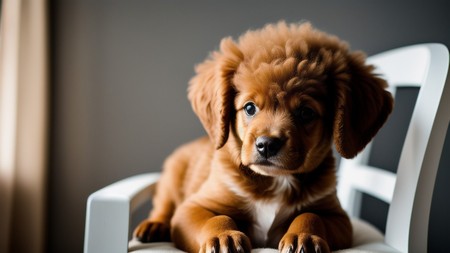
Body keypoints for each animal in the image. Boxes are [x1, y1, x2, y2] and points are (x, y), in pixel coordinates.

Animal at [134, 22, 394, 253]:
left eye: (306, 113)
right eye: (250, 108)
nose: (267, 145)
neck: (275, 182)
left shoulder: (338, 217)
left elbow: (311, 214)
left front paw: (303, 236)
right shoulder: (193, 208)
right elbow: (215, 219)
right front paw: (222, 237)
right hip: (172, 177)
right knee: (163, 207)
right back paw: (153, 226)